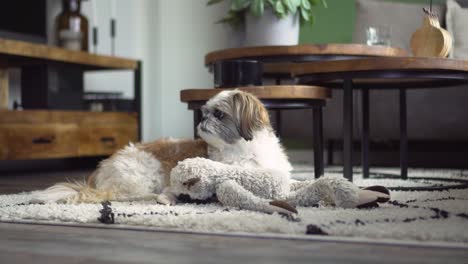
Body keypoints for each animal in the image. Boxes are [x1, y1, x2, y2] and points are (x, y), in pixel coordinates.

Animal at [31, 89, 386, 207]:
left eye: (218, 114)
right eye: (204, 112)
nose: (201, 120)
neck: (245, 151)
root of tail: (99, 173)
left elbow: (303, 182)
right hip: (142, 178)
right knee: (124, 196)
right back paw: (166, 196)